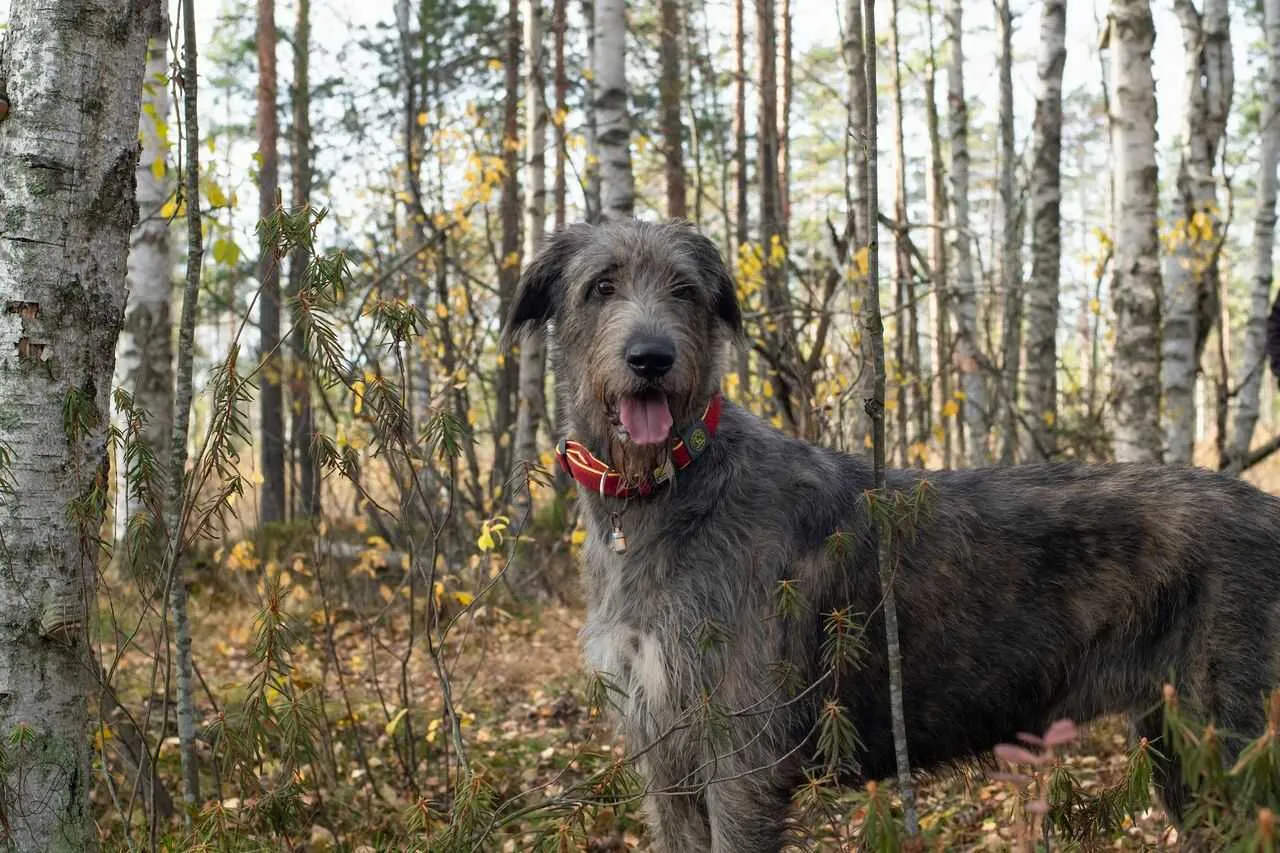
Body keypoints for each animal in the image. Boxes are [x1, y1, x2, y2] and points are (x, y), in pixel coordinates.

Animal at [504, 219, 1280, 850]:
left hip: (1237, 740)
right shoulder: (665, 757)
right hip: (1180, 748)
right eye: (601, 286)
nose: (652, 359)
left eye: (685, 290)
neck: (664, 493)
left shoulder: (742, 757)